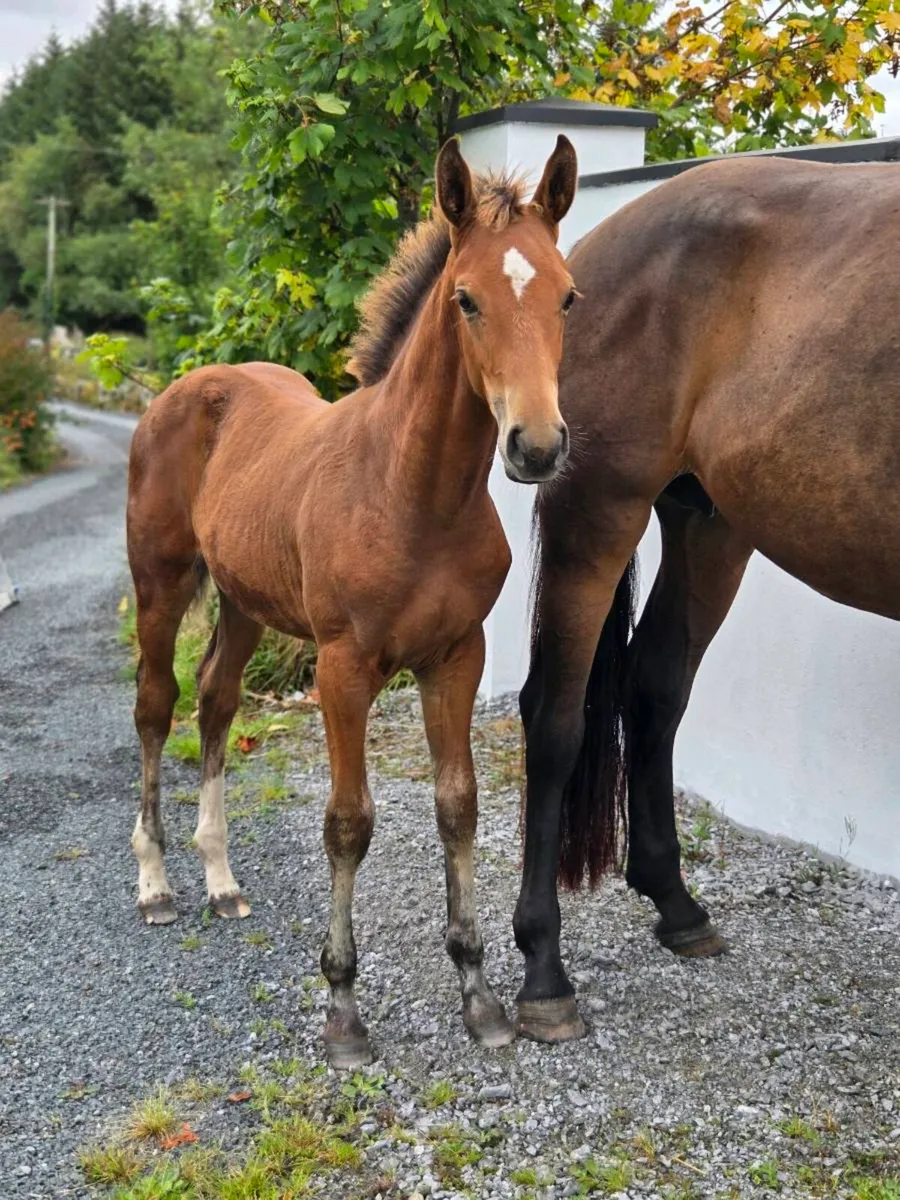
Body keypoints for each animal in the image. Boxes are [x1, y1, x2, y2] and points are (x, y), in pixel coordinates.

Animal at [125, 135, 579, 1067]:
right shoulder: (341, 667)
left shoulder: (457, 656)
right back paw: (155, 882)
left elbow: (457, 806)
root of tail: (188, 387)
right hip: (160, 584)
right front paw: (342, 1010)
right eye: (467, 300)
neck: (413, 493)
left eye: (567, 296)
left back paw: (220, 878)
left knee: (216, 702)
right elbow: (348, 822)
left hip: (245, 600)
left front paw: (480, 995)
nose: (537, 446)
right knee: (157, 705)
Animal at [513, 154, 900, 1043]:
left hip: (707, 522)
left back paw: (677, 904)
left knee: (656, 686)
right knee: (556, 714)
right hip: (597, 509)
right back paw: (544, 970)